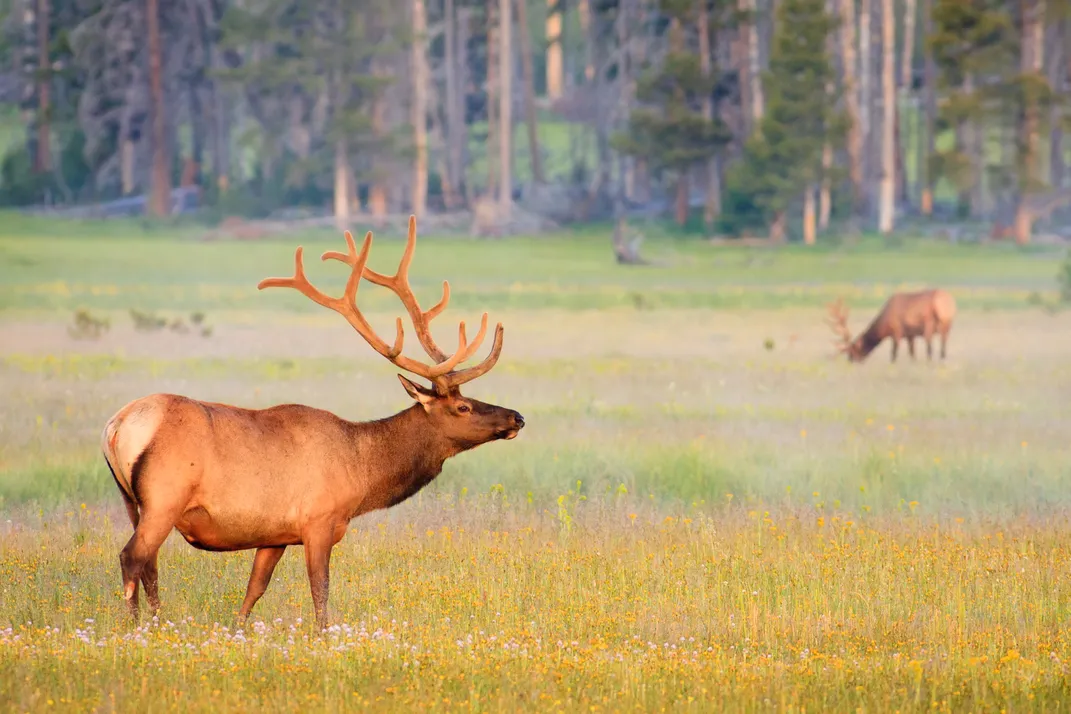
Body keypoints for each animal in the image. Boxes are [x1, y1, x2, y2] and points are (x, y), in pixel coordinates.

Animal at [100, 216, 524, 629]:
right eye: (463, 407)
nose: (516, 416)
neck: (362, 472)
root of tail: (116, 426)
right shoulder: (319, 521)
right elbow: (321, 592)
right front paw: (324, 636)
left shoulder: (275, 534)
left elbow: (254, 591)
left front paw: (238, 630)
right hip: (164, 497)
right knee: (131, 557)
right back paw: (136, 627)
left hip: (132, 501)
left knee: (150, 564)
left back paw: (156, 622)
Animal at [826, 289, 957, 363]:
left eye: (853, 350)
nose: (850, 361)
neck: (884, 326)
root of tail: (945, 299)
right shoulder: (910, 335)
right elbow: (912, 353)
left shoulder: (896, 331)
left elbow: (893, 353)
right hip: (947, 323)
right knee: (943, 345)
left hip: (929, 322)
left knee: (929, 347)